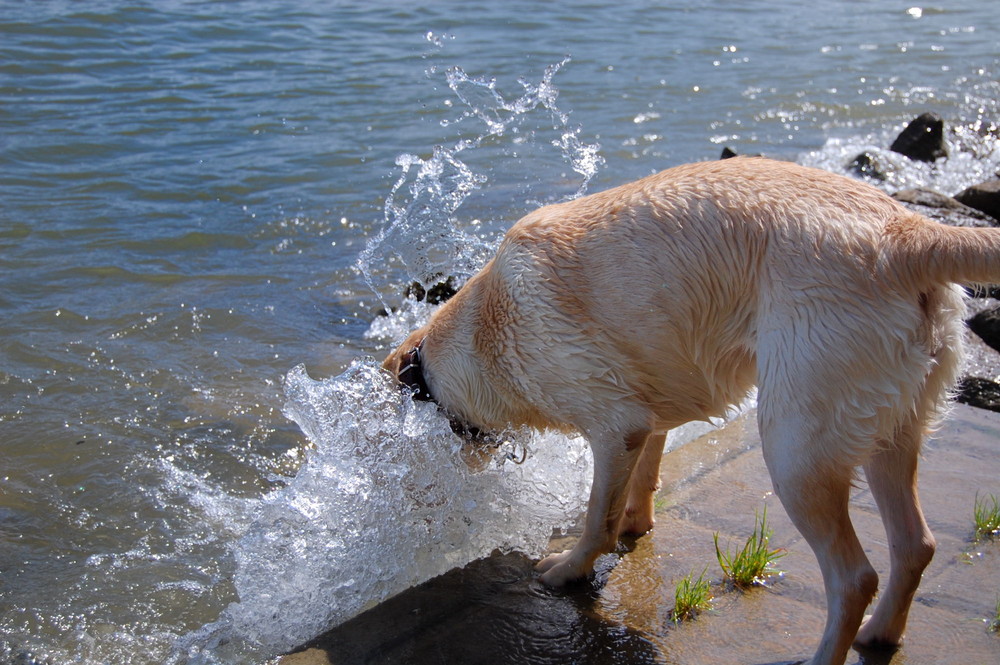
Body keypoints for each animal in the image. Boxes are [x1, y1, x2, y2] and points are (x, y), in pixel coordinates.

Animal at [382, 157, 1000, 664]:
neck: (484, 329)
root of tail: (911, 233)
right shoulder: (649, 407)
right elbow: (642, 476)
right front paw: (636, 523)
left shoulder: (613, 423)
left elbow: (596, 515)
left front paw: (572, 570)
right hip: (891, 431)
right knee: (916, 545)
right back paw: (880, 634)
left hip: (795, 451)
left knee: (854, 577)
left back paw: (828, 653)